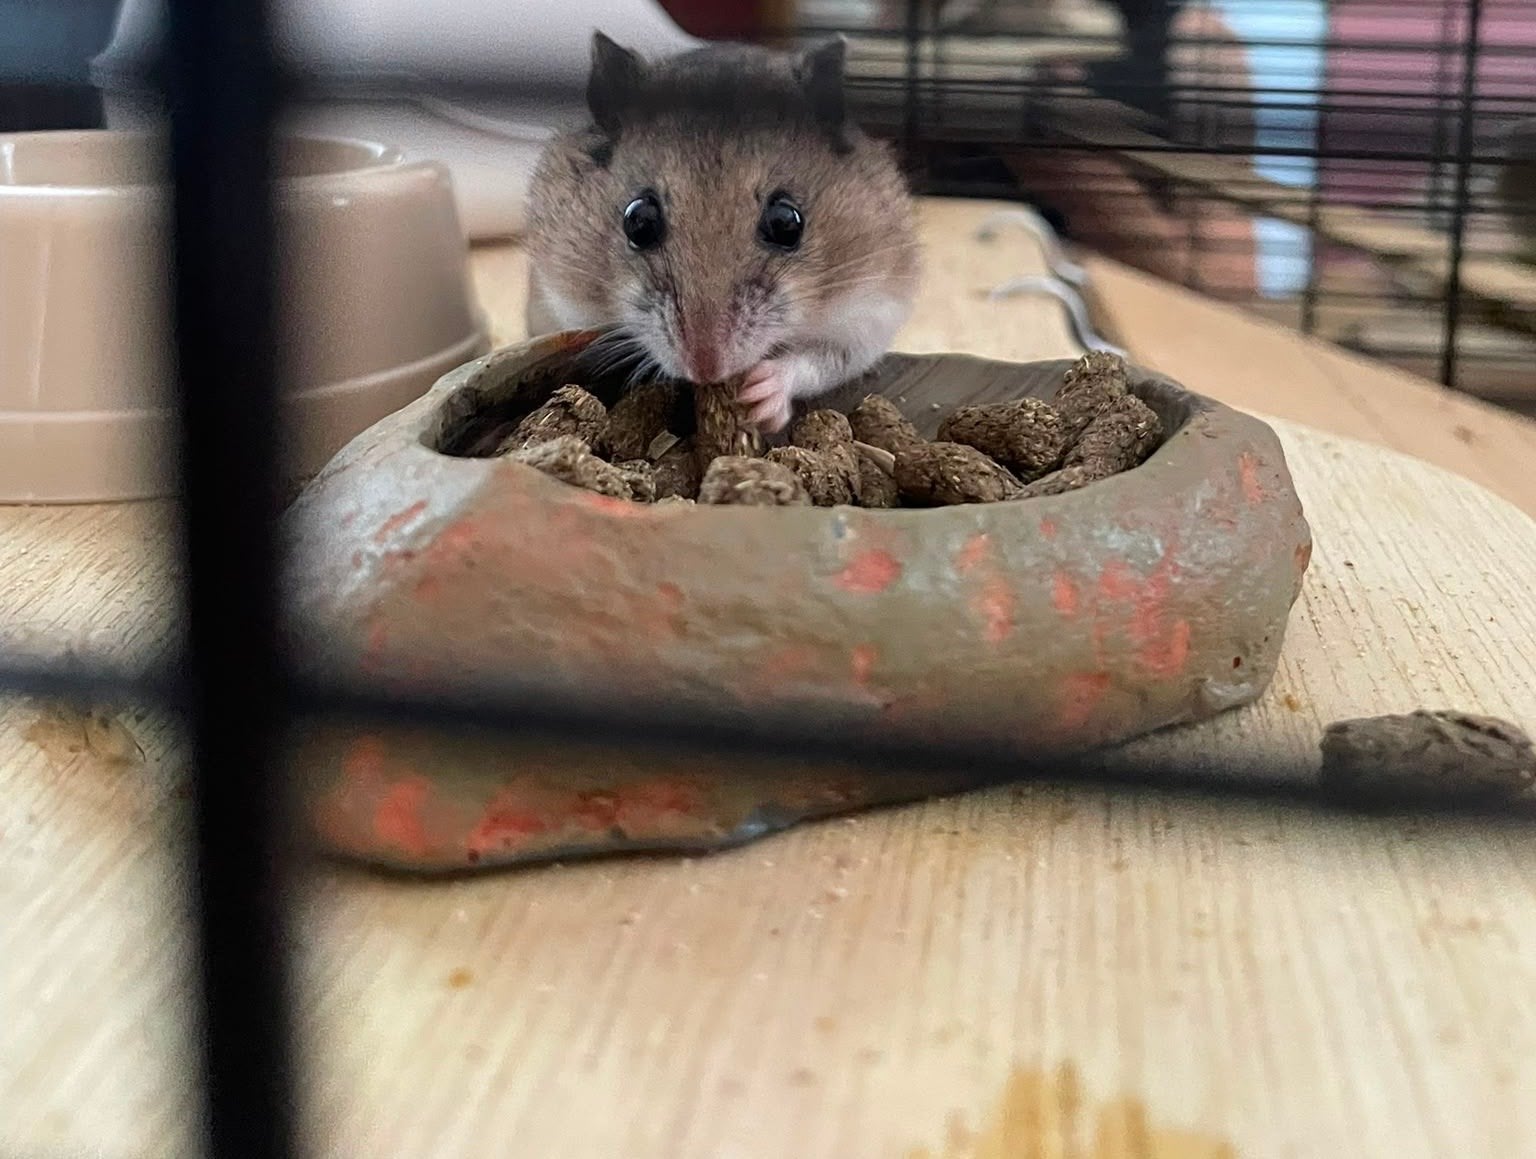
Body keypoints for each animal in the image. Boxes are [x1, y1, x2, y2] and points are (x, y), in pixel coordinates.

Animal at [524, 33, 920, 433]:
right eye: (639, 221)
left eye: (786, 223)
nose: (706, 372)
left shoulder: (870, 312)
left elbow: (817, 360)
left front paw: (759, 400)